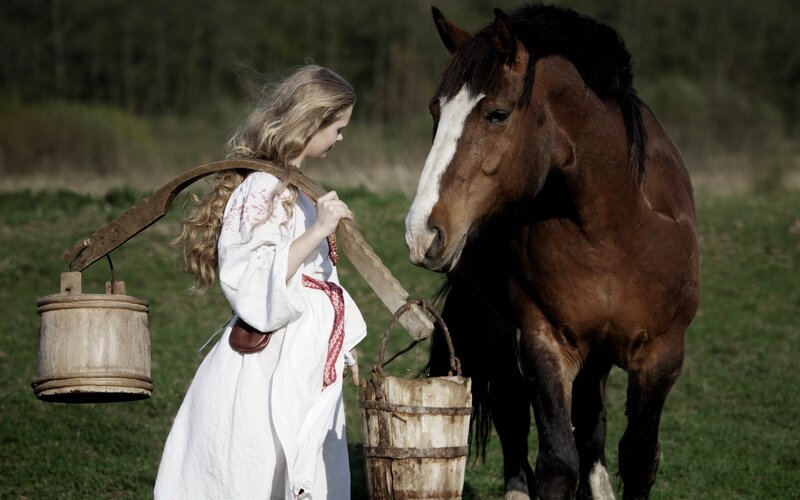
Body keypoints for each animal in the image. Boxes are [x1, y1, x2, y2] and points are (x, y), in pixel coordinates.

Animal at [405, 5, 700, 500]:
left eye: (497, 114)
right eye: (435, 111)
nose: (420, 232)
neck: (614, 228)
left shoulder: (662, 354)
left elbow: (638, 458)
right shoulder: (547, 340)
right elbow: (558, 461)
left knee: (591, 419)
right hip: (494, 319)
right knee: (511, 405)